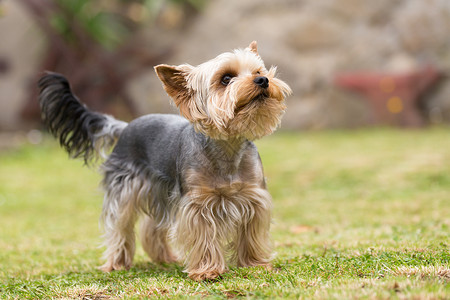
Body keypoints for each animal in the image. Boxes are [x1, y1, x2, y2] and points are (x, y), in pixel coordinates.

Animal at [38, 41, 292, 280]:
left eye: (258, 70)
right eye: (226, 79)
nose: (263, 80)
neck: (228, 147)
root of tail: (125, 125)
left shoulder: (253, 198)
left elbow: (251, 235)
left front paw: (254, 264)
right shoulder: (197, 204)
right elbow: (203, 237)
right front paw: (207, 271)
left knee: (152, 226)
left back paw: (164, 257)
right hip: (125, 190)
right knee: (120, 227)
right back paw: (116, 263)